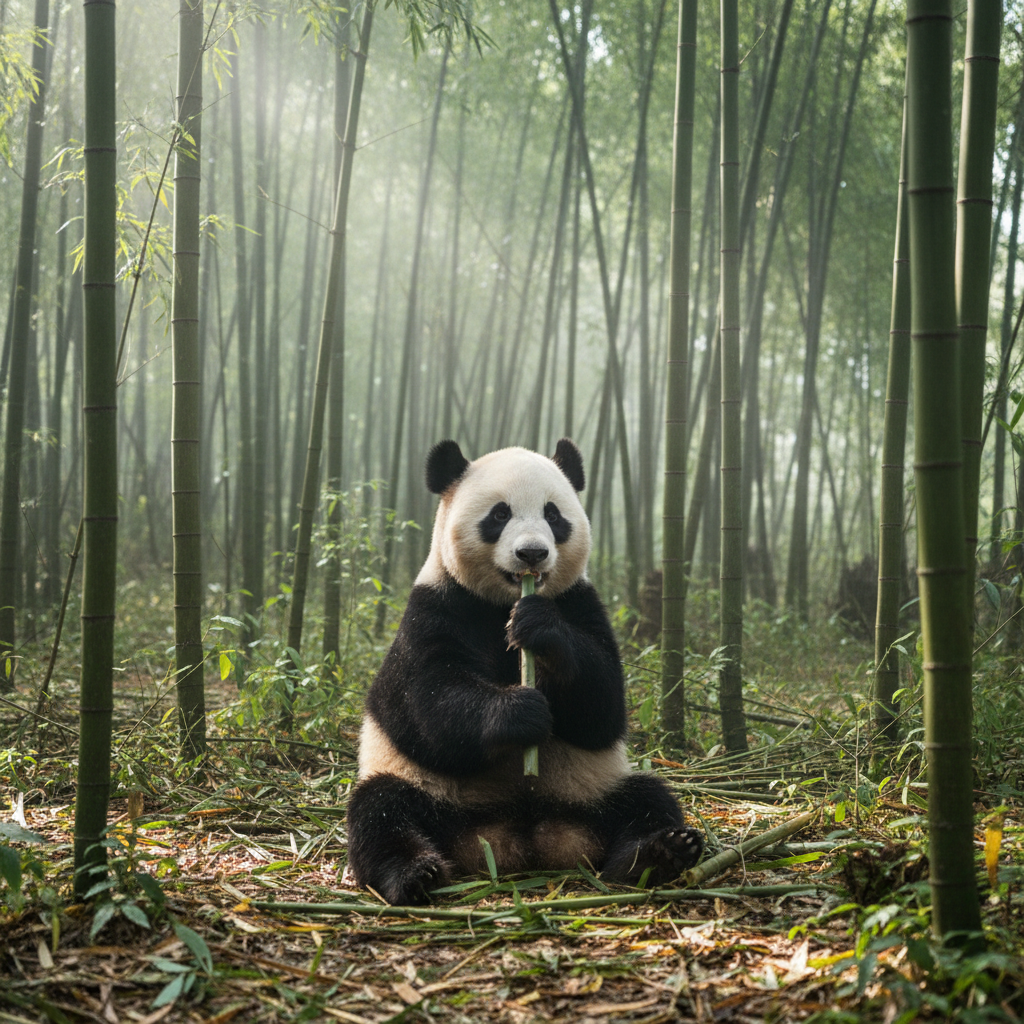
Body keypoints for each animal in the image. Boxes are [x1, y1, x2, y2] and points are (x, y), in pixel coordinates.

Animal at [346, 439, 704, 905]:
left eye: (553, 515)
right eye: (500, 515)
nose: (532, 553)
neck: (503, 603)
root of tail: (524, 839)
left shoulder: (581, 603)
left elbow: (603, 708)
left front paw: (540, 628)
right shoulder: (434, 609)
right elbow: (427, 705)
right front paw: (522, 712)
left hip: (590, 790)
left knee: (647, 798)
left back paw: (659, 854)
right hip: (433, 792)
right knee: (381, 810)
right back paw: (415, 874)